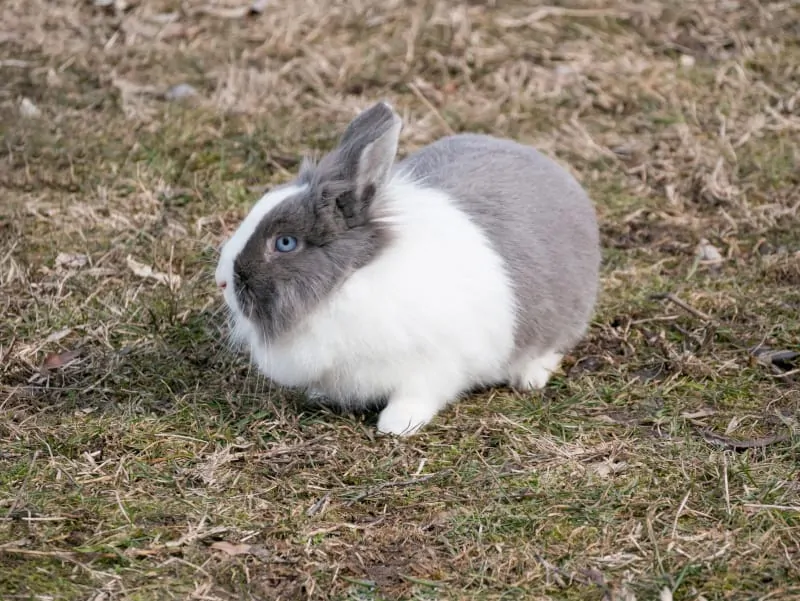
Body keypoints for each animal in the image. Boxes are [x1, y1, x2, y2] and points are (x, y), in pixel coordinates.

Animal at [214, 99, 600, 436]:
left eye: (285, 243)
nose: (221, 282)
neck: (349, 280)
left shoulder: (433, 366)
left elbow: (417, 396)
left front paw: (396, 427)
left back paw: (529, 378)